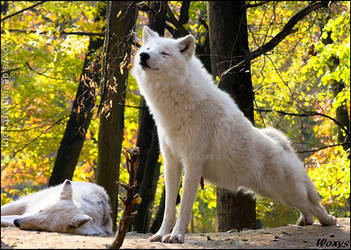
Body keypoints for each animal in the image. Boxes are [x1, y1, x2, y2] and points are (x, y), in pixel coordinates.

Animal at [133, 26, 338, 243]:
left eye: (164, 53)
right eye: (148, 48)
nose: (143, 55)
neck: (175, 104)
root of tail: (283, 144)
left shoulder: (193, 164)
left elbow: (184, 208)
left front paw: (176, 236)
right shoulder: (171, 164)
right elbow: (169, 209)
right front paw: (160, 234)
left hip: (284, 190)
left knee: (313, 204)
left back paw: (329, 220)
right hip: (274, 193)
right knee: (306, 207)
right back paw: (306, 220)